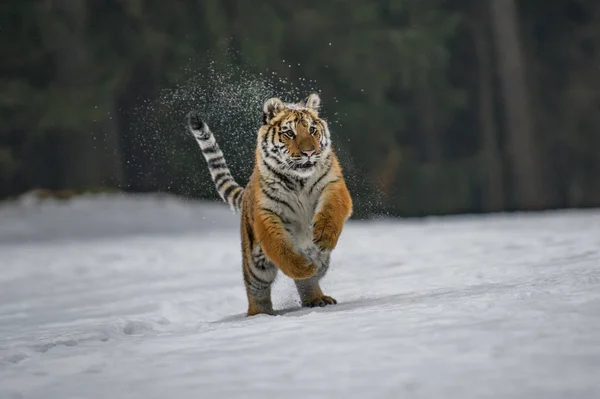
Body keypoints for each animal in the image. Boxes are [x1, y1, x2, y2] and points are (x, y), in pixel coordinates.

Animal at [185, 92, 350, 318]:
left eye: (312, 130)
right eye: (289, 133)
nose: (309, 153)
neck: (299, 180)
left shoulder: (332, 185)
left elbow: (331, 210)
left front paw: (324, 236)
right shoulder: (267, 211)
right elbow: (280, 247)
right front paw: (302, 267)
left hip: (322, 262)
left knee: (310, 280)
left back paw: (316, 298)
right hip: (254, 264)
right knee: (256, 289)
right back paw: (260, 315)